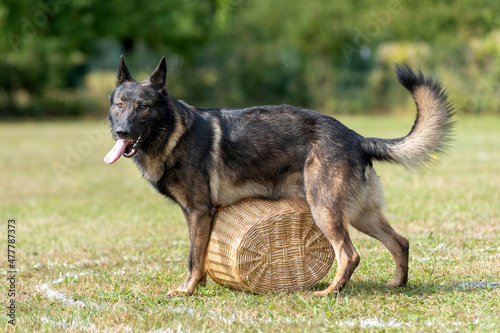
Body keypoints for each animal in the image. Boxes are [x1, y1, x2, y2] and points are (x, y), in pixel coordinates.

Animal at [104, 55, 454, 296]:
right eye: (120, 105)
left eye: (144, 107)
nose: (122, 132)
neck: (174, 132)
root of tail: (357, 138)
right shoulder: (198, 215)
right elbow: (199, 259)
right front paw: (197, 287)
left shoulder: (199, 212)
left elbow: (194, 257)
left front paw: (187, 291)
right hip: (359, 215)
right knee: (400, 242)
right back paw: (397, 284)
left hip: (325, 210)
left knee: (350, 254)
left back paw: (329, 292)